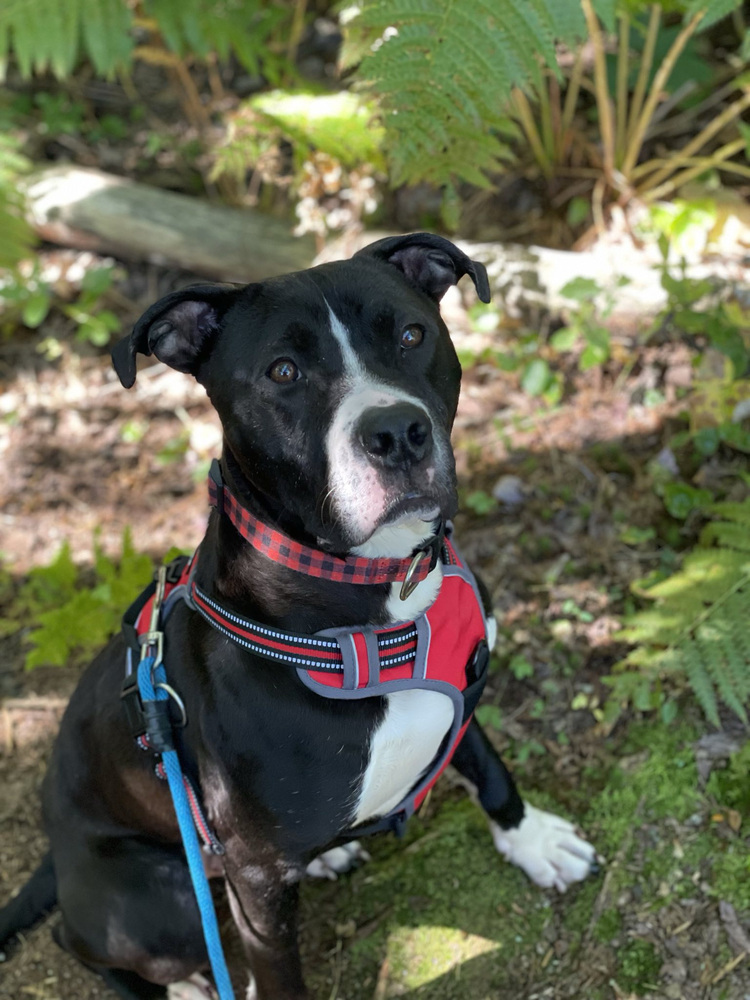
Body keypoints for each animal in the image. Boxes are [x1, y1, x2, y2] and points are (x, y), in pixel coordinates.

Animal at [0, 236, 600, 1000]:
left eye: (411, 335)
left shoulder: (461, 691)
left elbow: (487, 761)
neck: (380, 587)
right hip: (164, 899)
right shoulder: (254, 880)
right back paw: (185, 983)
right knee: (85, 942)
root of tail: (57, 851)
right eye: (283, 371)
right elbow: (278, 972)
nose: (397, 432)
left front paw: (532, 839)